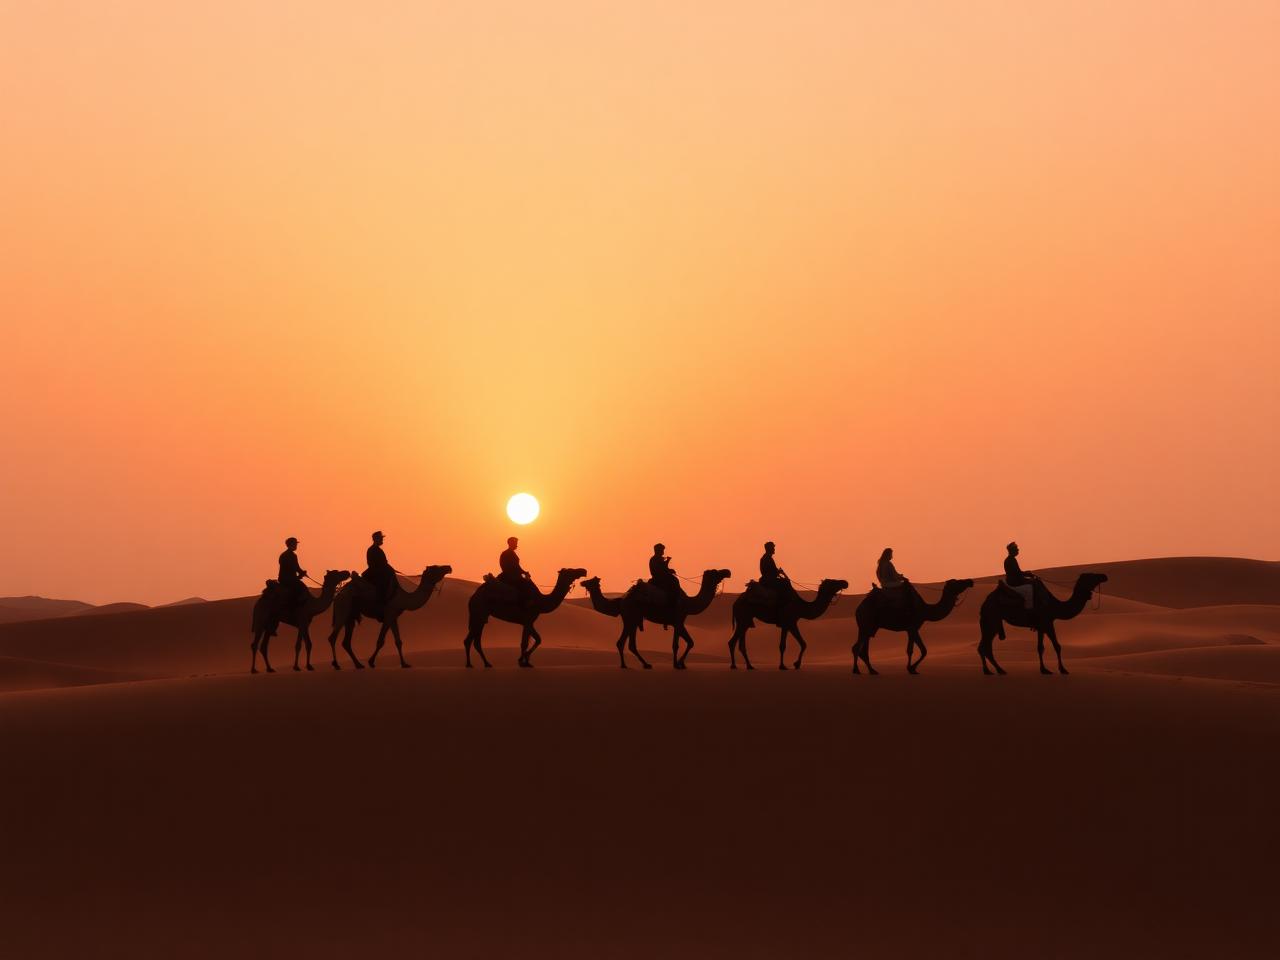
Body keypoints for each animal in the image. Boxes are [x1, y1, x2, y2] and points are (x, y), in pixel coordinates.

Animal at [977, 573, 1107, 675]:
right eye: (1091, 576)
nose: (1104, 576)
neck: (1054, 605)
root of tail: (984, 604)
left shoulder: (1043, 625)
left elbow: (1051, 646)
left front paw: (1057, 669)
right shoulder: (1046, 622)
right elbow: (1046, 647)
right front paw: (1051, 670)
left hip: (991, 622)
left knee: (984, 646)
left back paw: (994, 670)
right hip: (992, 619)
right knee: (984, 646)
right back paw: (993, 670)